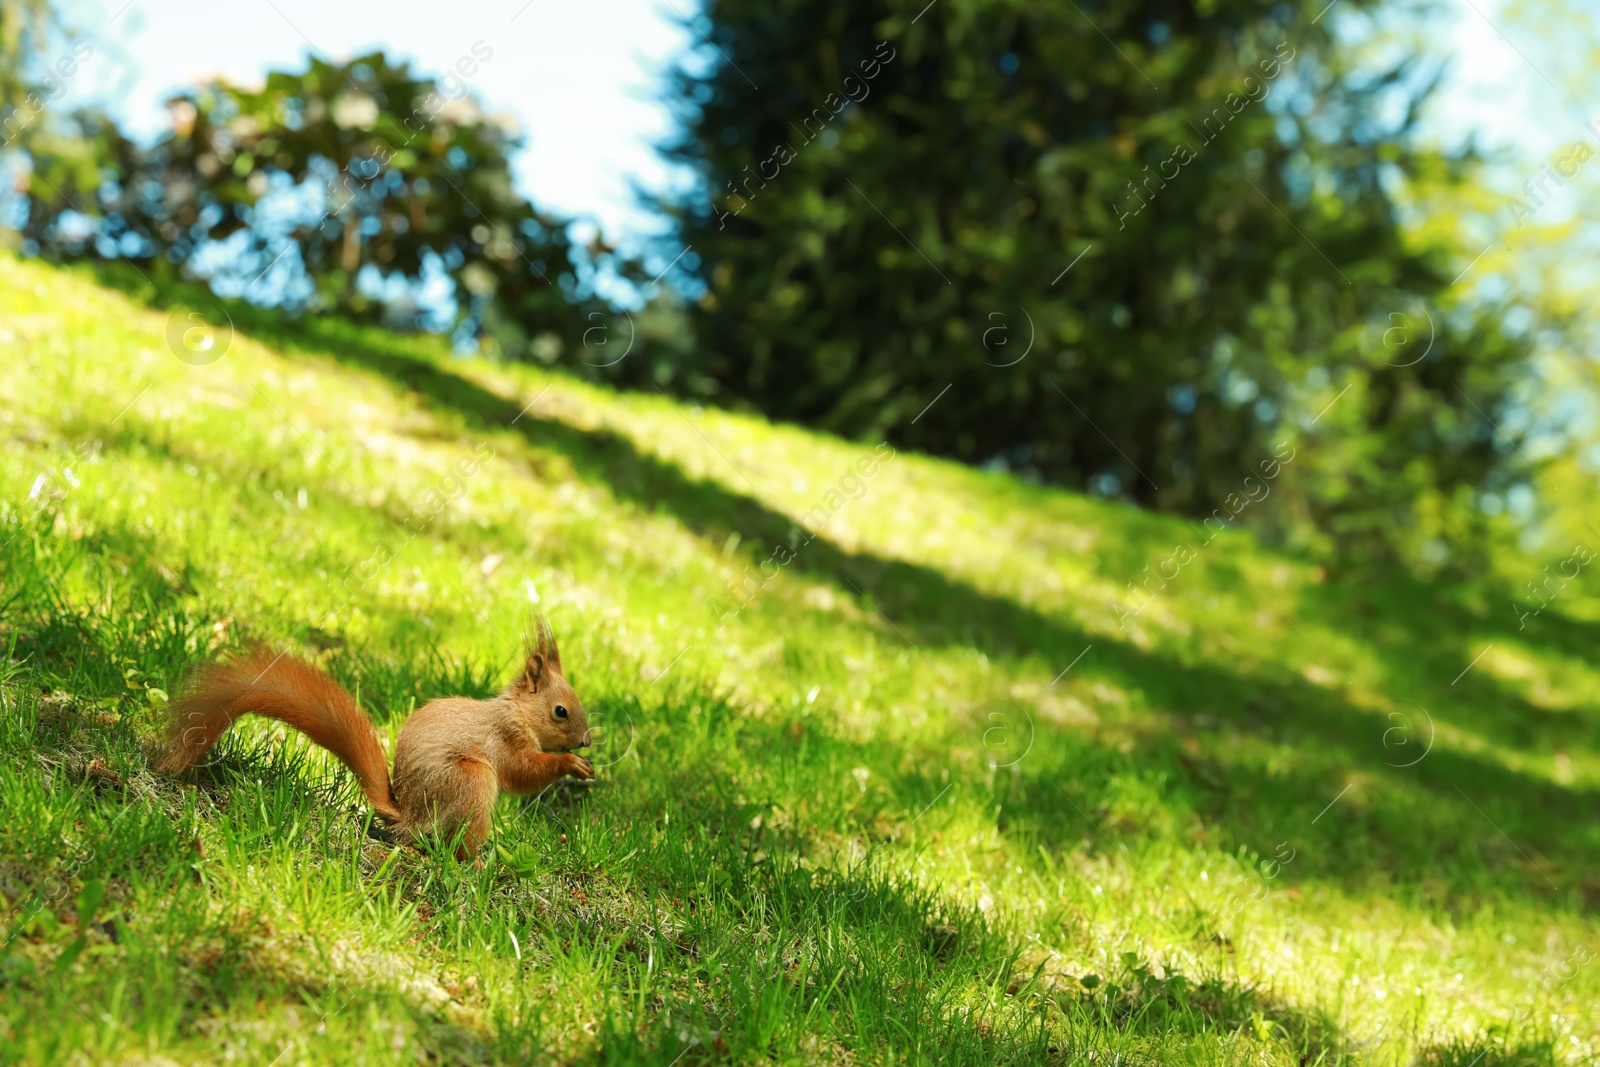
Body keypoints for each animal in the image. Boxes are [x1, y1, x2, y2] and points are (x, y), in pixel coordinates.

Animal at [157, 617, 595, 857]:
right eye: (560, 711)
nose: (586, 741)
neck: (518, 712)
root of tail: (409, 817)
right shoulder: (505, 738)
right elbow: (522, 771)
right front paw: (572, 765)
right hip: (471, 781)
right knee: (454, 844)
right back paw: (475, 863)